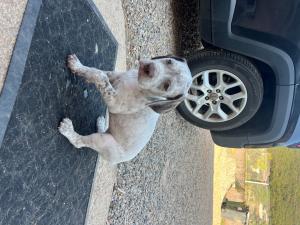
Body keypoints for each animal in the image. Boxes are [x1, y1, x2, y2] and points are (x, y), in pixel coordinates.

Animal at [58, 54, 192, 163]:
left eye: (167, 85)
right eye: (169, 61)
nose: (150, 69)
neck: (138, 85)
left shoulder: (115, 103)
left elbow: (100, 76)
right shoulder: (114, 75)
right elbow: (97, 72)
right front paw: (77, 65)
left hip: (104, 141)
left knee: (80, 142)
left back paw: (68, 129)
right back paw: (101, 123)